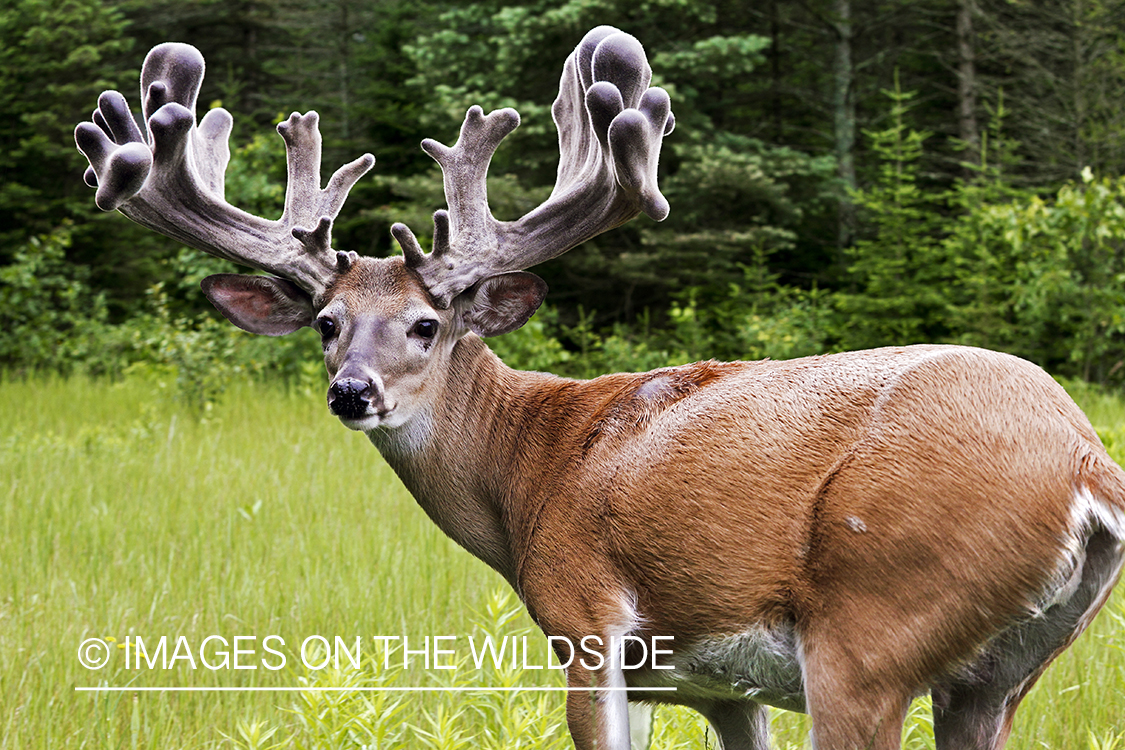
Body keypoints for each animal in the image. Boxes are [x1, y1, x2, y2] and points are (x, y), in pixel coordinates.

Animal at [79, 24, 1125, 750]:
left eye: (426, 324)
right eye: (327, 324)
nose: (352, 393)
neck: (526, 474)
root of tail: (1085, 464)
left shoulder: (585, 623)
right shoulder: (717, 687)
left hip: (868, 625)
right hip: (996, 676)